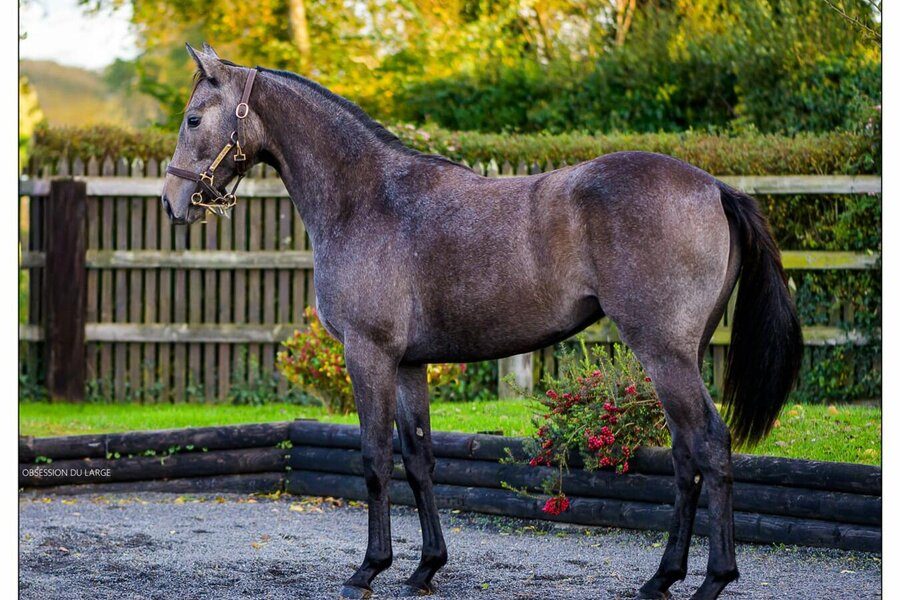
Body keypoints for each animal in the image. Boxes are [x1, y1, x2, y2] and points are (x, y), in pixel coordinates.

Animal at [162, 44, 802, 600]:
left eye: (194, 119)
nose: (173, 202)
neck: (366, 197)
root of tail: (715, 187)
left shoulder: (369, 355)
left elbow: (374, 458)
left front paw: (368, 569)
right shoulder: (409, 365)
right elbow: (418, 459)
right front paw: (425, 568)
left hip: (663, 353)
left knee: (709, 446)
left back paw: (713, 580)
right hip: (677, 357)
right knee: (685, 455)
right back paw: (662, 579)